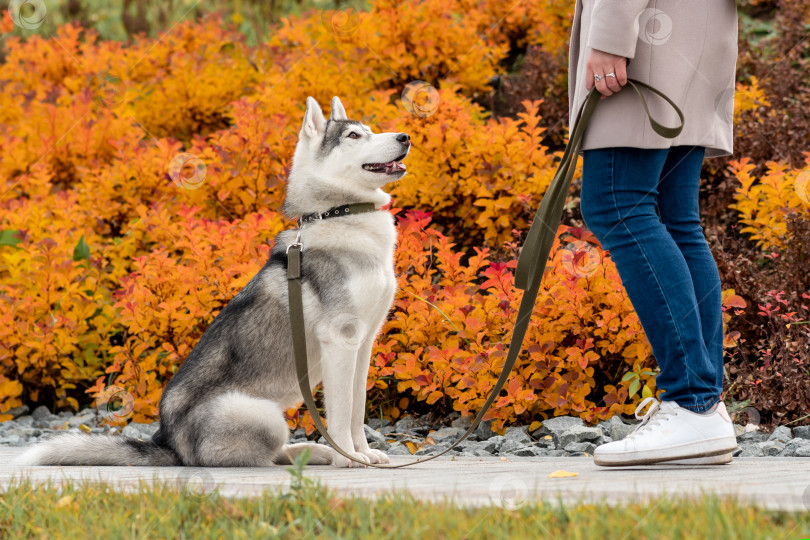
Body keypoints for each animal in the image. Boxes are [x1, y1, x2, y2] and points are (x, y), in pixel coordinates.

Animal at [17, 97, 410, 468]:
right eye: (354, 136)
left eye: (370, 129)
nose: (405, 136)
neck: (339, 214)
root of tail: (169, 441)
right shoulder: (340, 341)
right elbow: (342, 415)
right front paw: (349, 458)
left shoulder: (362, 345)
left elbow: (357, 410)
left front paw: (362, 453)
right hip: (264, 415)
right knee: (258, 455)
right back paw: (317, 453)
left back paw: (315, 452)